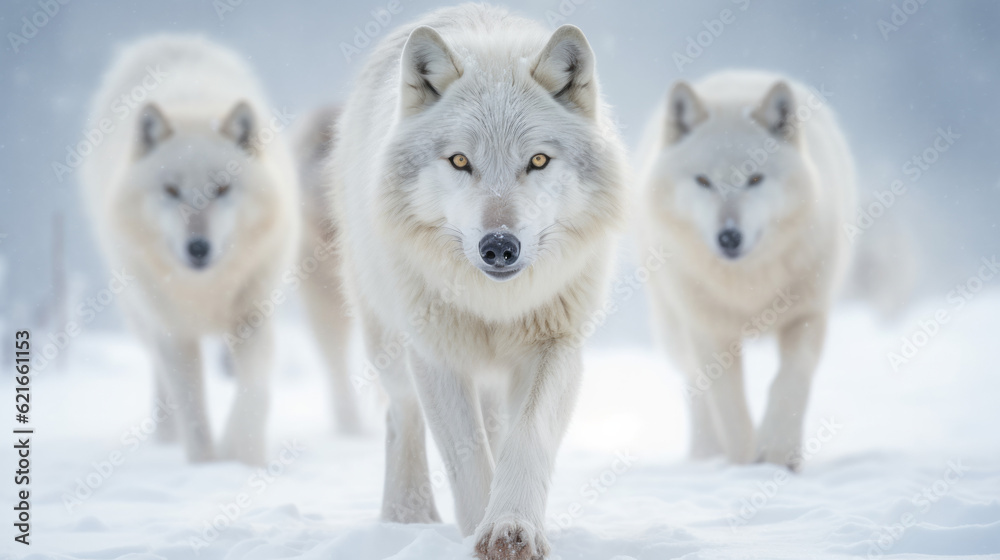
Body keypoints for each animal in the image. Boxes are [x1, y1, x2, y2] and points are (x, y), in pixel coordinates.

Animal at [81, 35, 300, 465]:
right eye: (171, 190)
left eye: (222, 188)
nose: (198, 247)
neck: (205, 290)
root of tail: (166, 38)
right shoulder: (173, 332)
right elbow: (193, 414)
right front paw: (205, 467)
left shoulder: (254, 316)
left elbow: (254, 391)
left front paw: (243, 455)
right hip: (142, 315)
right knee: (162, 383)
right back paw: (165, 439)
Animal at [330, 4, 627, 558]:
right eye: (460, 161)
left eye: (537, 160)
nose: (499, 246)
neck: (495, 303)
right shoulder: (437, 355)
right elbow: (466, 457)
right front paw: (476, 533)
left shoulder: (557, 344)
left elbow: (525, 437)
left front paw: (511, 528)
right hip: (388, 337)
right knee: (401, 414)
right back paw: (405, 516)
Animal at [637, 70, 856, 469]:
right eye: (703, 181)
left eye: (755, 179)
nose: (728, 237)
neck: (748, 287)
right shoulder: (709, 333)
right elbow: (730, 409)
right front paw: (742, 465)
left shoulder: (808, 315)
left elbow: (790, 381)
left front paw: (779, 454)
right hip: (673, 327)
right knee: (695, 390)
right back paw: (706, 455)